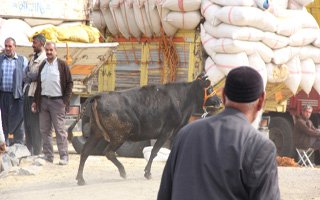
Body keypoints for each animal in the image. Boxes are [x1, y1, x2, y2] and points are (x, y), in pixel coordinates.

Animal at [68, 72, 221, 185]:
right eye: (210, 88)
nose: (219, 101)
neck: (181, 98)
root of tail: (99, 96)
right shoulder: (166, 132)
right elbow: (154, 151)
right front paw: (147, 173)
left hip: (96, 133)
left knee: (85, 152)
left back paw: (80, 179)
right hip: (119, 135)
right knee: (108, 152)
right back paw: (123, 172)